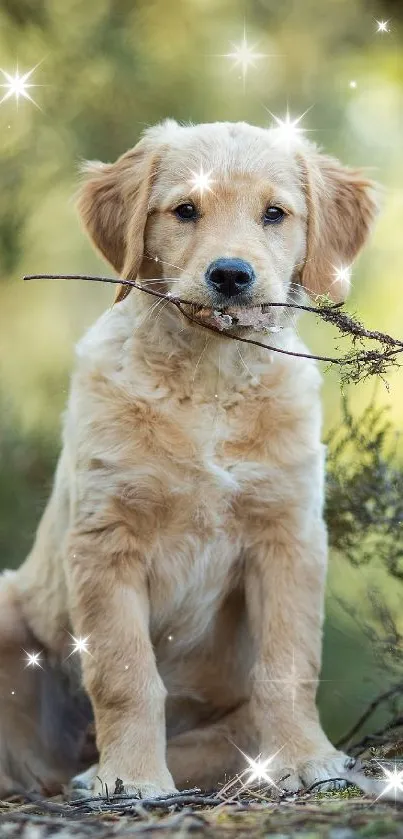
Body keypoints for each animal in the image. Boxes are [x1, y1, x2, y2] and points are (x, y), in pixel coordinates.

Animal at [0, 120, 378, 800]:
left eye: (275, 213)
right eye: (184, 211)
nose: (230, 275)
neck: (210, 378)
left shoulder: (288, 535)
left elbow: (289, 661)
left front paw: (304, 759)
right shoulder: (106, 540)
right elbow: (125, 673)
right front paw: (131, 778)